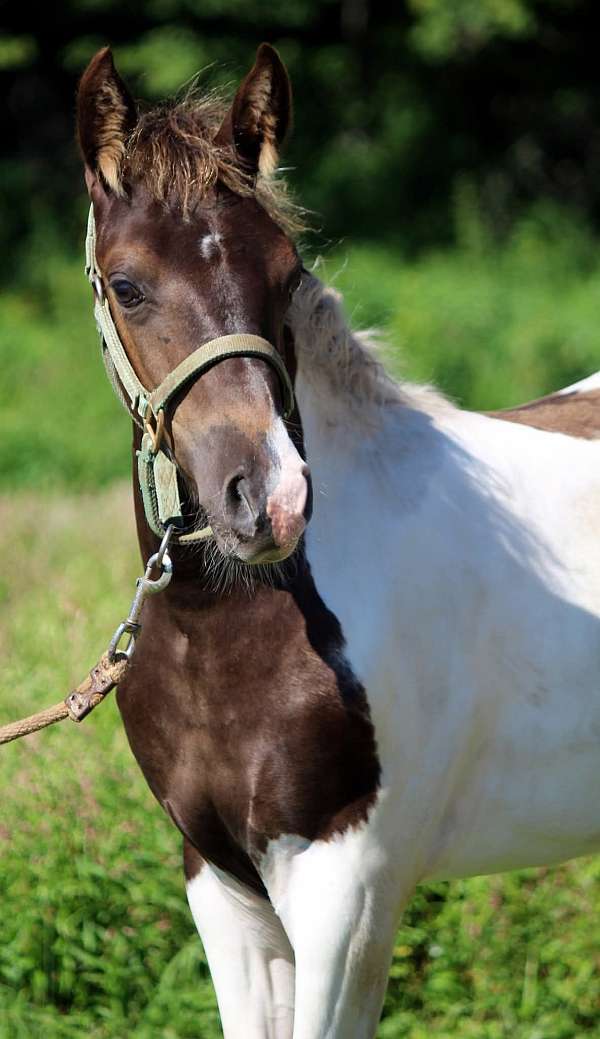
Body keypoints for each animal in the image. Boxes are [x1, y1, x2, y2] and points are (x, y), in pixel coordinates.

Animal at [77, 43, 600, 1039]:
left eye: (286, 276)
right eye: (126, 284)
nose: (269, 501)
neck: (224, 635)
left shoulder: (345, 896)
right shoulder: (222, 886)